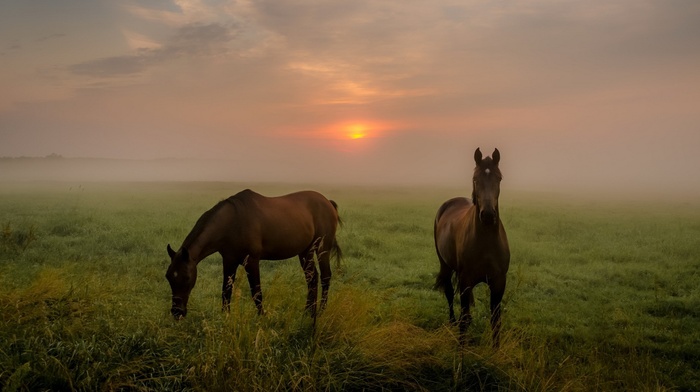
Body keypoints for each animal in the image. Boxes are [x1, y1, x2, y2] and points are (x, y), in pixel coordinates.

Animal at [167, 188, 342, 320]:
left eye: (187, 277)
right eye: (168, 277)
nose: (177, 312)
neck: (233, 222)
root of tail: (328, 202)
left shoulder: (251, 261)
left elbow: (256, 292)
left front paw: (262, 317)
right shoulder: (229, 261)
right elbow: (226, 291)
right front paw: (225, 317)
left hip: (322, 249)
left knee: (325, 276)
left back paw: (320, 311)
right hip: (305, 252)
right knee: (312, 278)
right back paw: (308, 311)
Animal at [432, 148, 508, 346]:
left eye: (499, 178)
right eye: (475, 179)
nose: (488, 215)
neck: (486, 243)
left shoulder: (499, 283)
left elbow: (495, 321)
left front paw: (496, 350)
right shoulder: (466, 281)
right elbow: (464, 319)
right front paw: (461, 349)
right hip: (445, 265)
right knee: (450, 293)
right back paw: (451, 324)